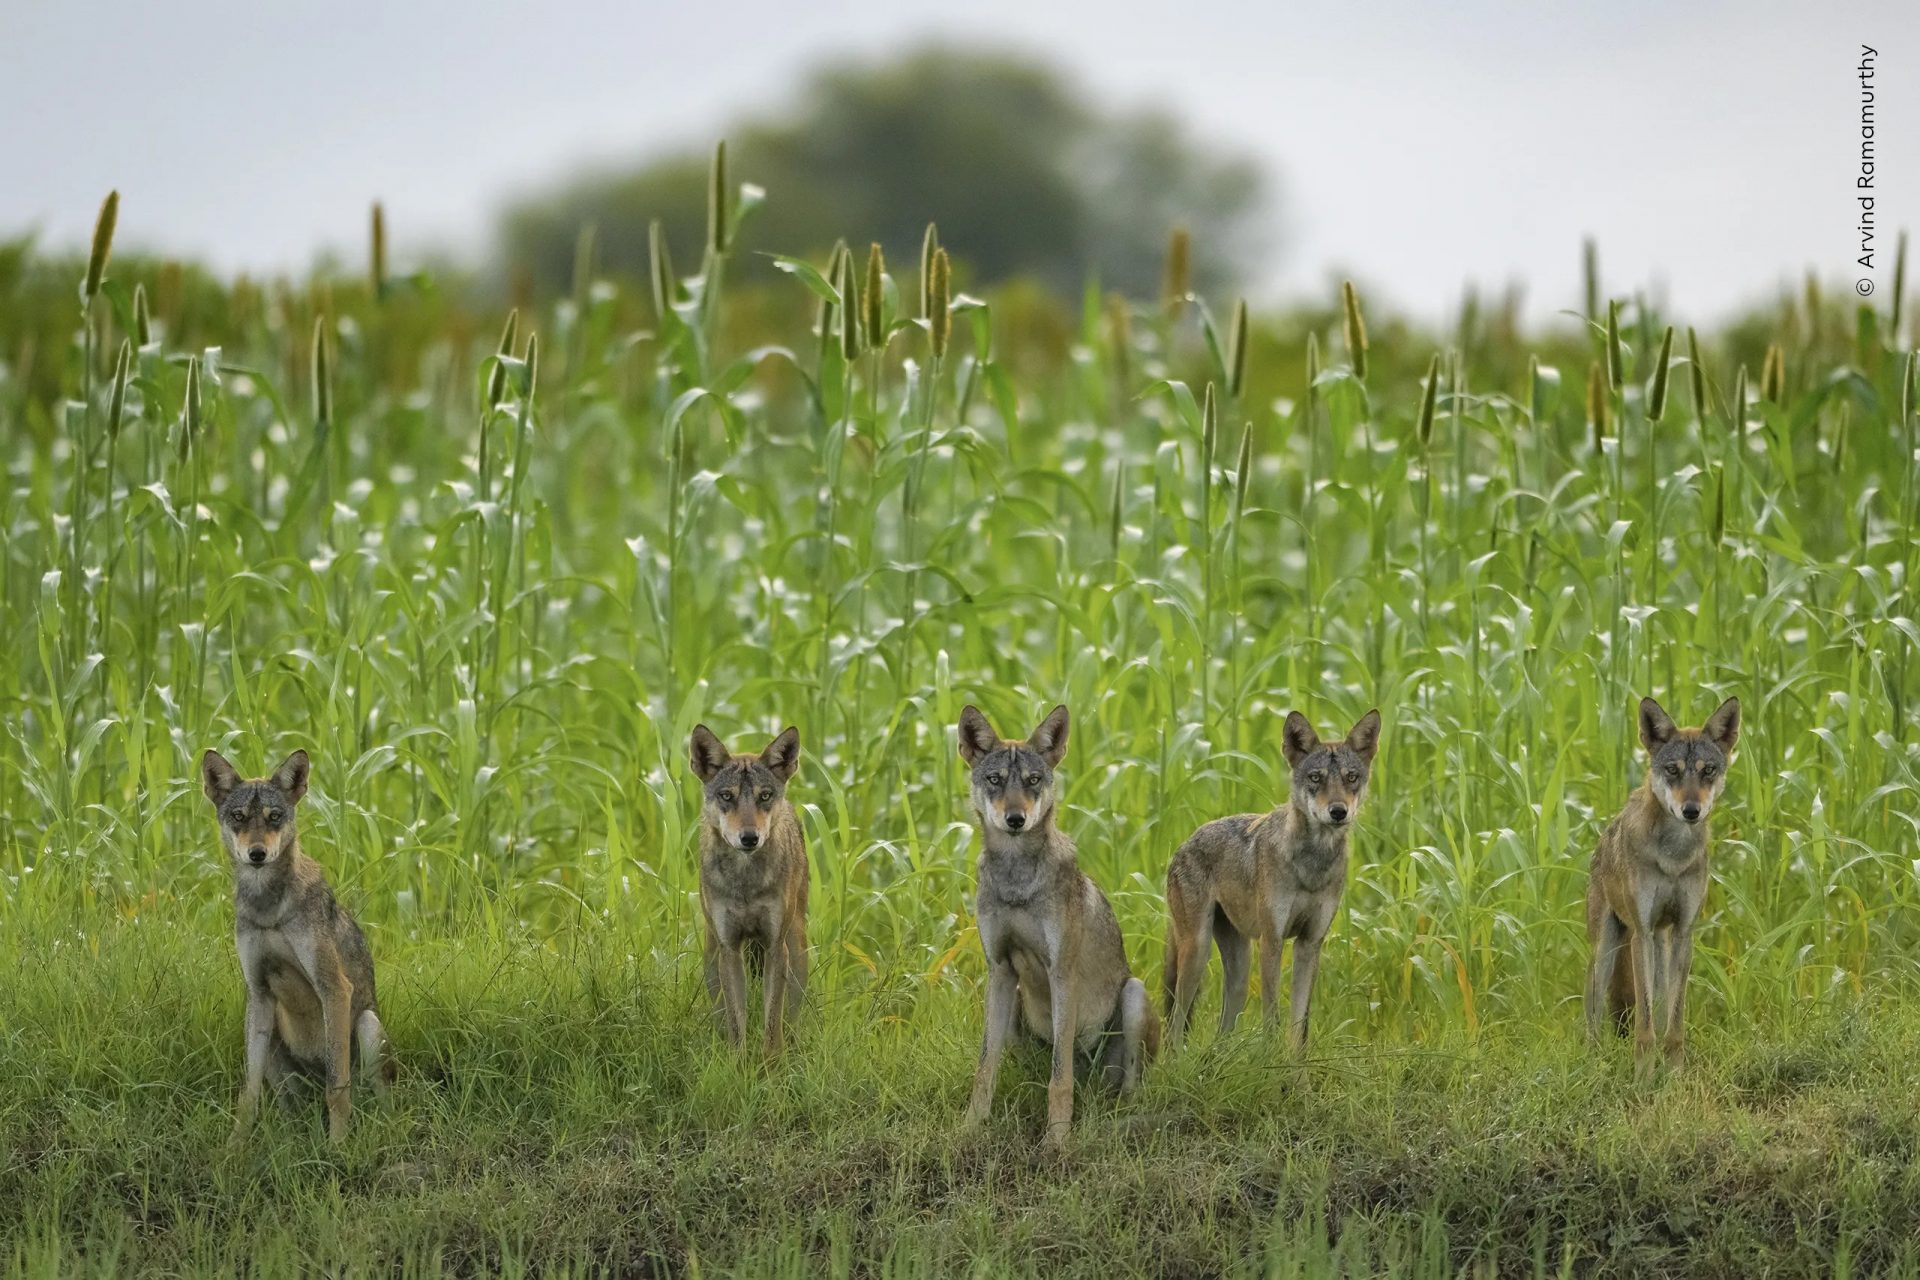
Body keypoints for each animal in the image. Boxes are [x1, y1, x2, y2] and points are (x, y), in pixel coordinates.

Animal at [202, 744, 389, 1143]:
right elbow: (249, 1094)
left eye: (274, 817)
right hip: (270, 1034)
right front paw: (234, 1148)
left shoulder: (335, 988)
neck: (268, 909)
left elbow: (337, 1086)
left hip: (368, 1026)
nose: (257, 854)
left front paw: (338, 1146)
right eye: (239, 817)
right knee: (291, 1109)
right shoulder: (258, 992)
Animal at [1589, 694, 1743, 1074]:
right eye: (1672, 770)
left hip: (1661, 945)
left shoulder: (1685, 932)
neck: (1674, 857)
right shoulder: (1642, 934)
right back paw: (1594, 1065)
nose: (1691, 811)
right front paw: (1643, 1076)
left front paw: (1673, 1074)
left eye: (1708, 770)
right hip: (1607, 954)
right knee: (1593, 1020)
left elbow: (1674, 1022)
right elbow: (1644, 1026)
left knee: (1659, 1007)